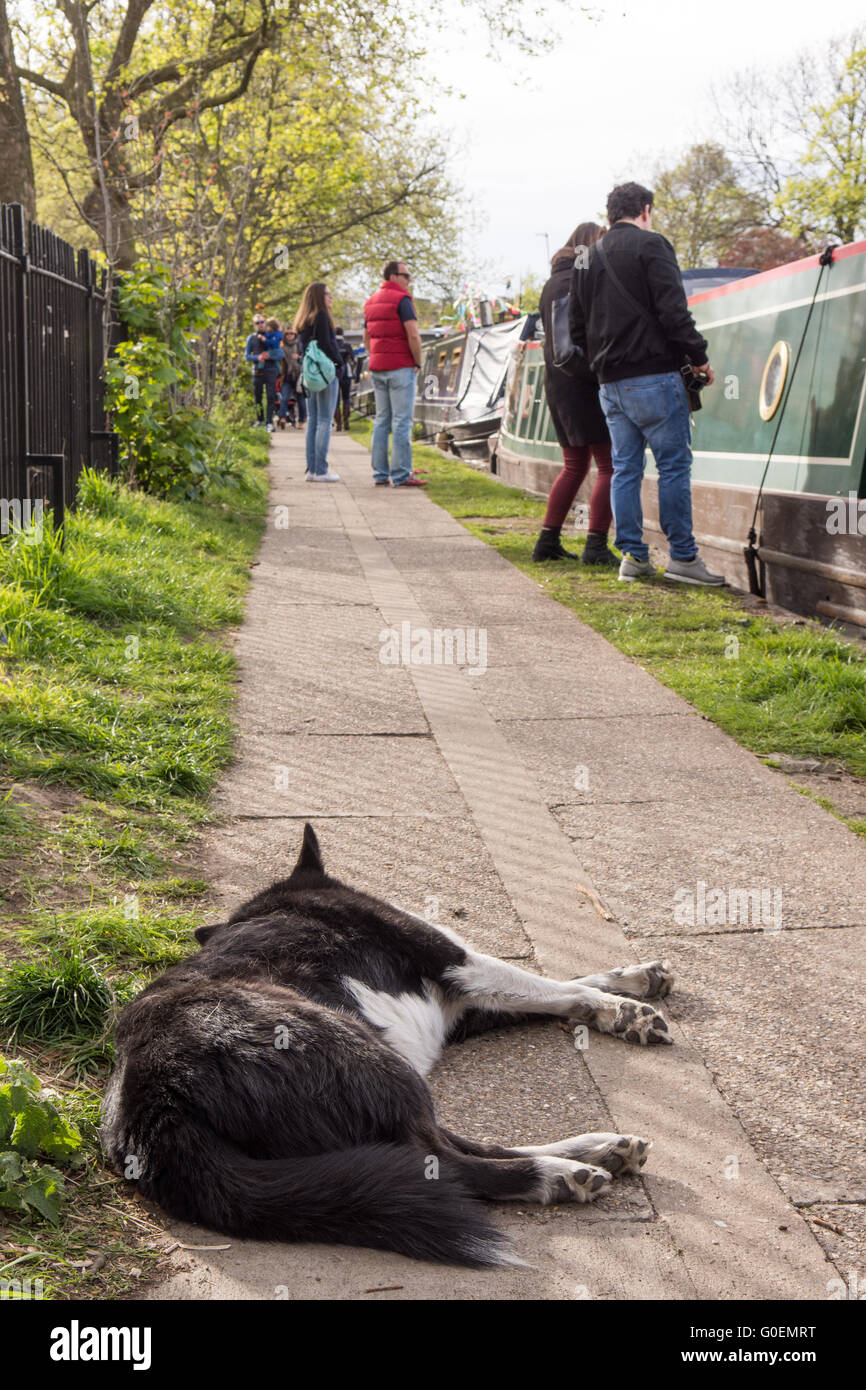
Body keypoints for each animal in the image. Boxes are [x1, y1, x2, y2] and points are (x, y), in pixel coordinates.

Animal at [100, 822, 670, 1273]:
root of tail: (155, 1101)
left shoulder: (461, 1008)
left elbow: (560, 985)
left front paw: (632, 982)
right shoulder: (457, 961)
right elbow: (549, 985)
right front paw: (622, 1008)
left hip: (383, 1071)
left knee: (441, 1146)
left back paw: (594, 1149)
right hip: (369, 1058)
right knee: (444, 1160)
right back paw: (560, 1175)